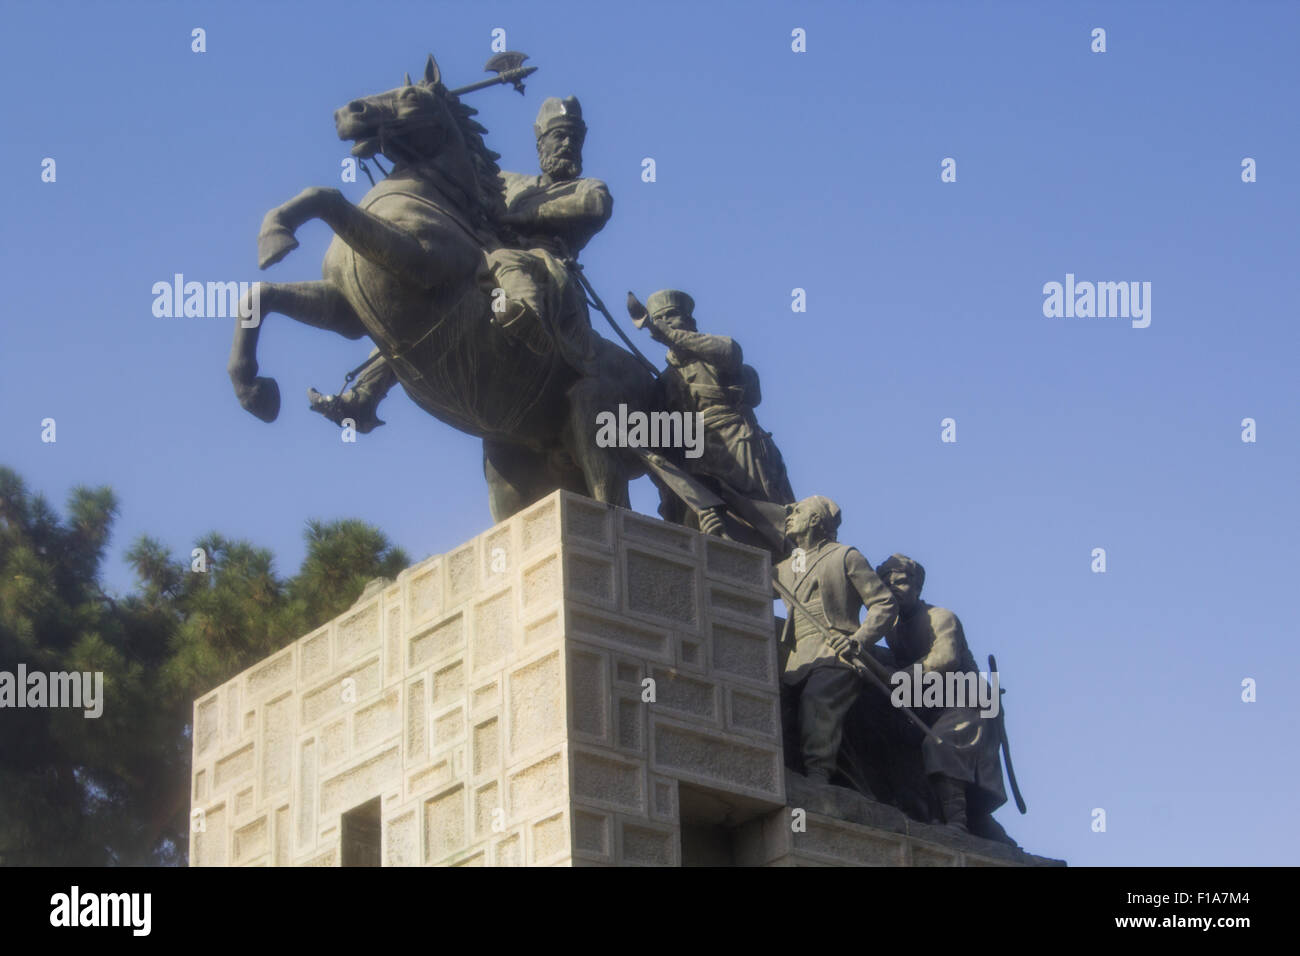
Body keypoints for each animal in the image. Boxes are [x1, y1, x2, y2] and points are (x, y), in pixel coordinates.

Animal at [228, 55, 655, 520]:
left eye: (411, 95)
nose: (348, 112)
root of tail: (653, 379)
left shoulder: (419, 260)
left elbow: (327, 197)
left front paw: (276, 233)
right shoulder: (344, 311)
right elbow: (261, 296)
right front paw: (255, 391)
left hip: (594, 419)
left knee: (614, 499)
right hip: (519, 465)